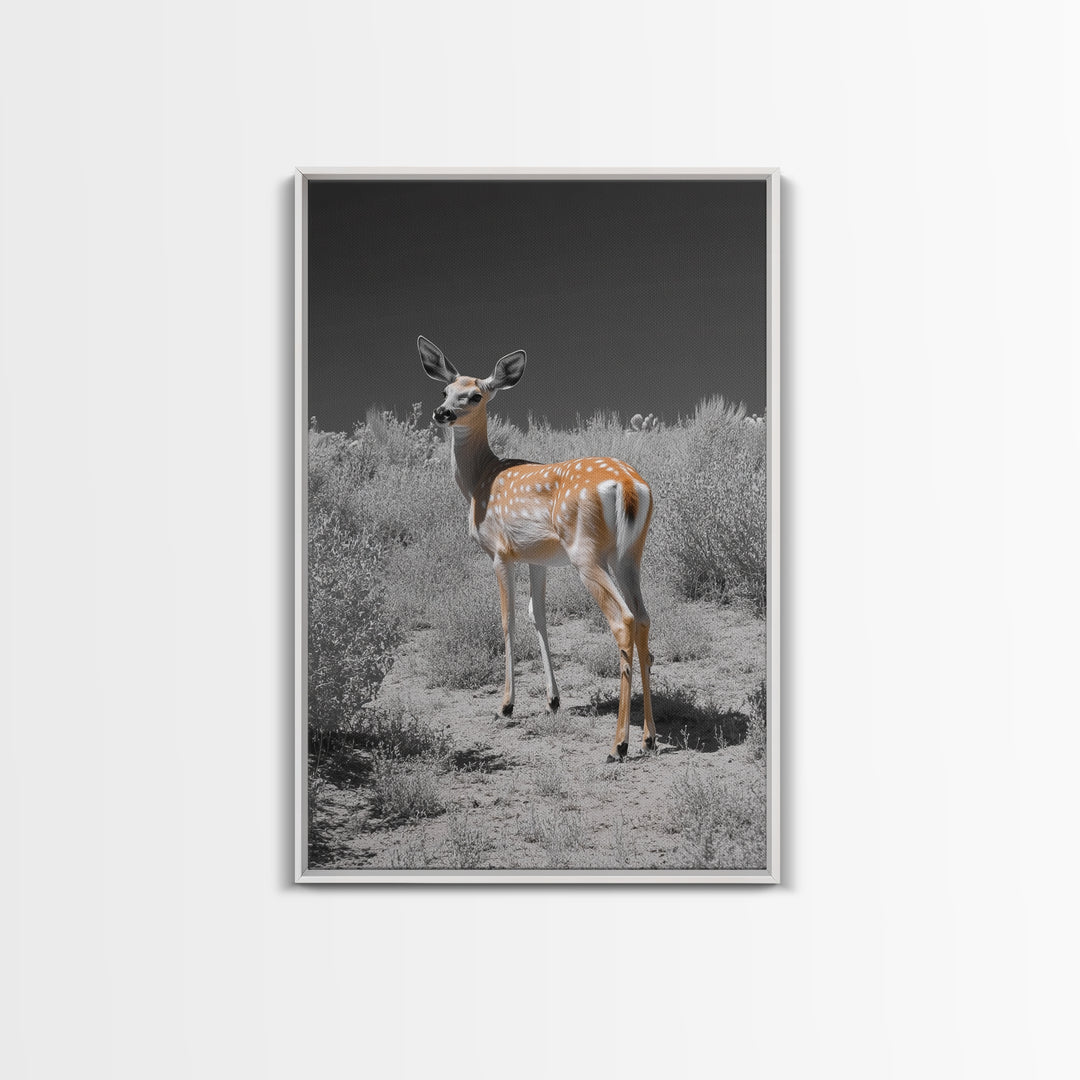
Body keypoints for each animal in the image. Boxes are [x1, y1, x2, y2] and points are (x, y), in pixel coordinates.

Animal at [419, 335, 656, 762]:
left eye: (475, 395)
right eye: (445, 390)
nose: (441, 412)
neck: (479, 480)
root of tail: (630, 486)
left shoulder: (500, 552)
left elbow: (508, 619)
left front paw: (506, 705)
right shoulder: (537, 559)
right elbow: (539, 617)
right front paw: (552, 700)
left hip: (585, 553)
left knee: (623, 619)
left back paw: (618, 744)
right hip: (629, 554)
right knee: (643, 617)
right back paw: (649, 737)